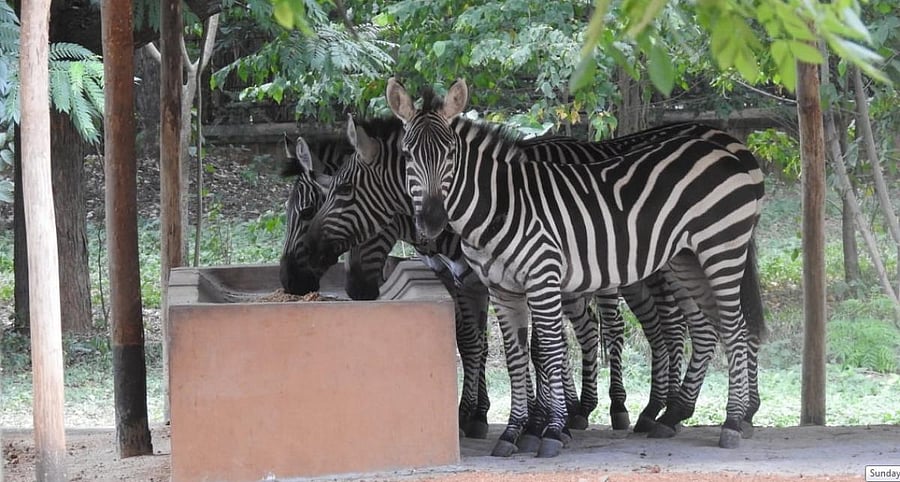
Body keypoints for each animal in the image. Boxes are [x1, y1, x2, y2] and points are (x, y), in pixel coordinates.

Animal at [302, 112, 762, 443]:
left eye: (341, 193)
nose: (354, 289)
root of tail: (735, 146)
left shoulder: (528, 274)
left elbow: (536, 349)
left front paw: (536, 421)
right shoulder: (477, 281)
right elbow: (482, 345)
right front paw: (489, 416)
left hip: (716, 250)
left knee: (723, 326)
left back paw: (726, 419)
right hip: (685, 259)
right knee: (702, 327)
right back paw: (675, 413)